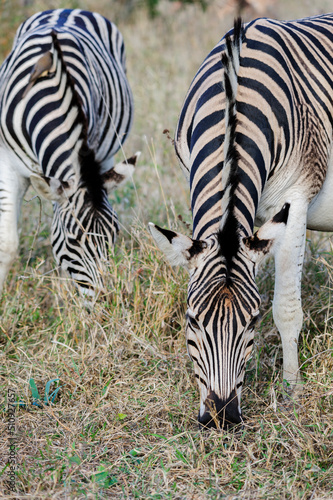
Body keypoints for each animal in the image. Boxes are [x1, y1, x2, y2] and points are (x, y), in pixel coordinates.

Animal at [0, 9, 137, 296]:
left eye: (114, 236)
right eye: (74, 240)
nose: (106, 299)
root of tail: (68, 10)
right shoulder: (7, 163)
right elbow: (7, 244)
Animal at [149, 13, 332, 428]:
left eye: (252, 322)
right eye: (192, 321)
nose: (221, 416)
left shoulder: (296, 197)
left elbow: (287, 309)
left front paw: (292, 391)